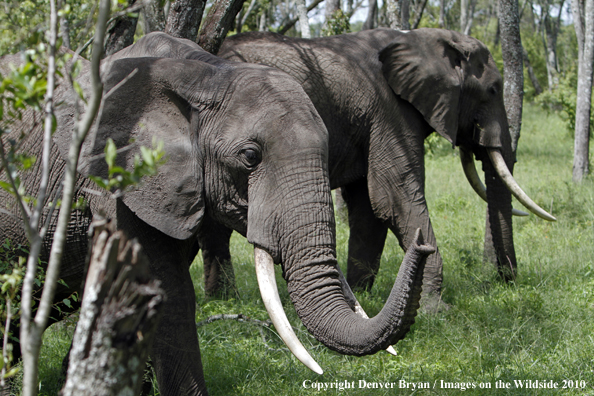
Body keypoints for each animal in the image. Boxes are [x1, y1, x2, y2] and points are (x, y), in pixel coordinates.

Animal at [204, 27, 556, 306]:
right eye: (493, 90)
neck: (424, 39)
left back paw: (220, 300)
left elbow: (369, 208)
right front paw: (435, 309)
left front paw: (362, 296)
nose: (506, 281)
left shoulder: (369, 121)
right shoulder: (390, 111)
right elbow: (393, 196)